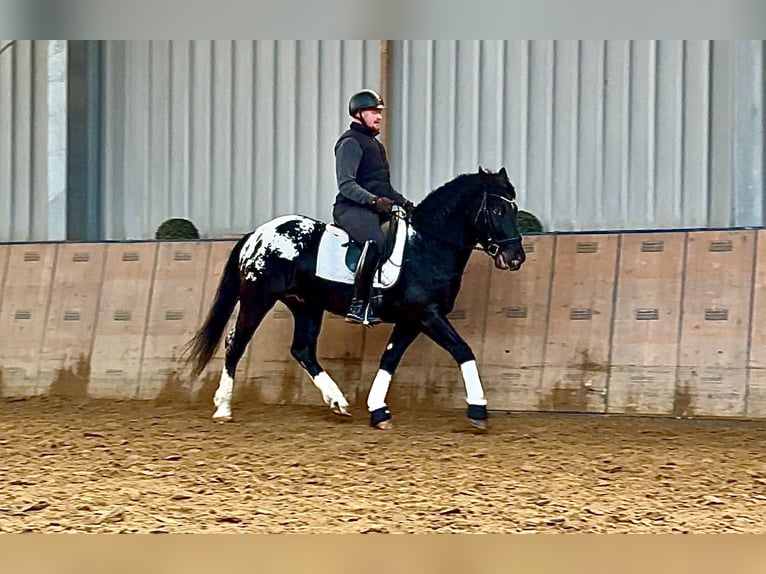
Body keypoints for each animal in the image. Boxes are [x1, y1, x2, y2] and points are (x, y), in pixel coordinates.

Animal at [184, 169, 528, 430]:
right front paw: (478, 409)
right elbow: (463, 350)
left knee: (302, 349)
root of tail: (256, 235)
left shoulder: (412, 319)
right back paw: (223, 409)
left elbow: (390, 359)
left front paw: (378, 410)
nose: (515, 258)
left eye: (514, 209)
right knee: (236, 342)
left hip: (306, 305)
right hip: (258, 299)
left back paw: (338, 401)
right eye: (497, 210)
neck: (427, 245)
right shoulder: (427, 314)